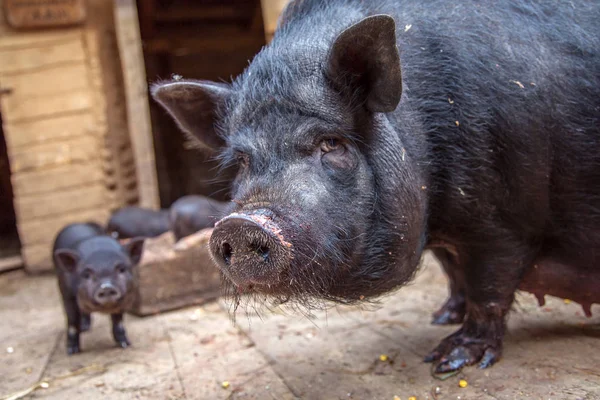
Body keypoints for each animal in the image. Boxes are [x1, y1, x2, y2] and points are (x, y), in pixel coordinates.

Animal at [52, 222, 144, 354]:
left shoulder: (124, 299)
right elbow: (72, 321)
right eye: (86, 274)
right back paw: (84, 329)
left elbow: (118, 320)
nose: (106, 287)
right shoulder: (67, 294)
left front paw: (125, 344)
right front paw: (72, 352)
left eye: (121, 269)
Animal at [151, 0, 600, 374]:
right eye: (243, 160)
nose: (241, 224)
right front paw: (441, 317)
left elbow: (488, 287)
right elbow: (453, 270)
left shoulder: (502, 222)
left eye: (331, 143)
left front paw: (445, 360)